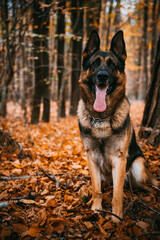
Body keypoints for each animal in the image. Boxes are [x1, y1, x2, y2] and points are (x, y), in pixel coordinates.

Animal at [77, 30, 158, 223]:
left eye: (112, 65)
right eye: (95, 63)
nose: (102, 76)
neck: (101, 118)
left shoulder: (119, 159)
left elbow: (117, 194)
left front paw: (116, 218)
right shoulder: (91, 157)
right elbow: (96, 189)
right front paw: (96, 209)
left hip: (137, 166)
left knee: (145, 186)